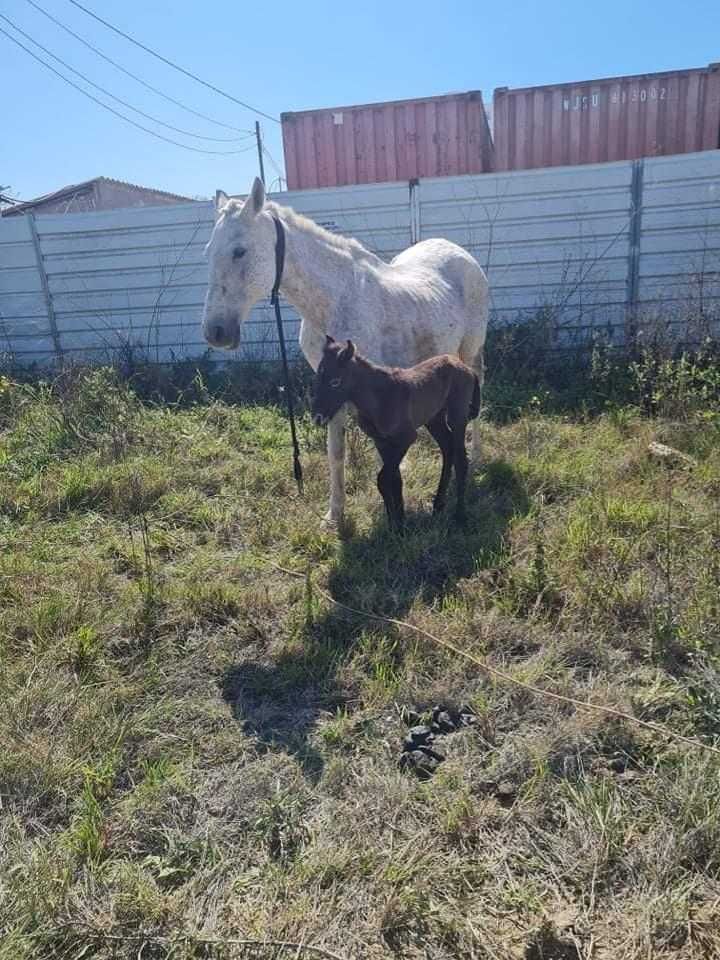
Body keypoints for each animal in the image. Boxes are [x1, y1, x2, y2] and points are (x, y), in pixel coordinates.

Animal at [312, 338, 480, 532]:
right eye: (318, 377)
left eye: (335, 382)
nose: (317, 417)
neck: (379, 398)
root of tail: (468, 369)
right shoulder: (382, 441)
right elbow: (393, 480)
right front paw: (397, 523)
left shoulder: (405, 438)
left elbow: (383, 478)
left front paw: (397, 526)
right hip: (434, 419)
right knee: (448, 449)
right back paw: (438, 506)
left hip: (457, 416)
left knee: (461, 461)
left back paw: (460, 515)